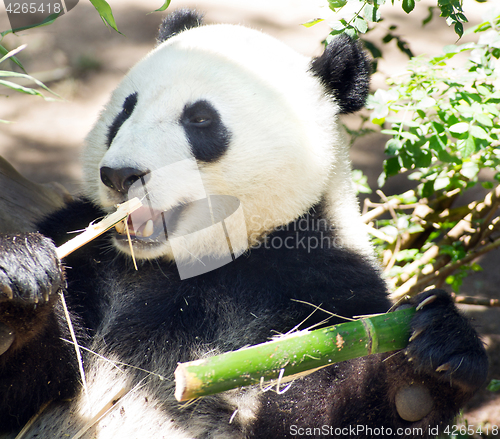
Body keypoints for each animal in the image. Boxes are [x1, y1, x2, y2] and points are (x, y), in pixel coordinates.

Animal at [0, 7, 488, 439]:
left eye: (200, 119)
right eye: (125, 111)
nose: (120, 175)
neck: (188, 262)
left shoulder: (319, 285)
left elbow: (310, 409)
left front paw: (425, 372)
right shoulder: (88, 256)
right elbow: (26, 390)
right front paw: (21, 276)